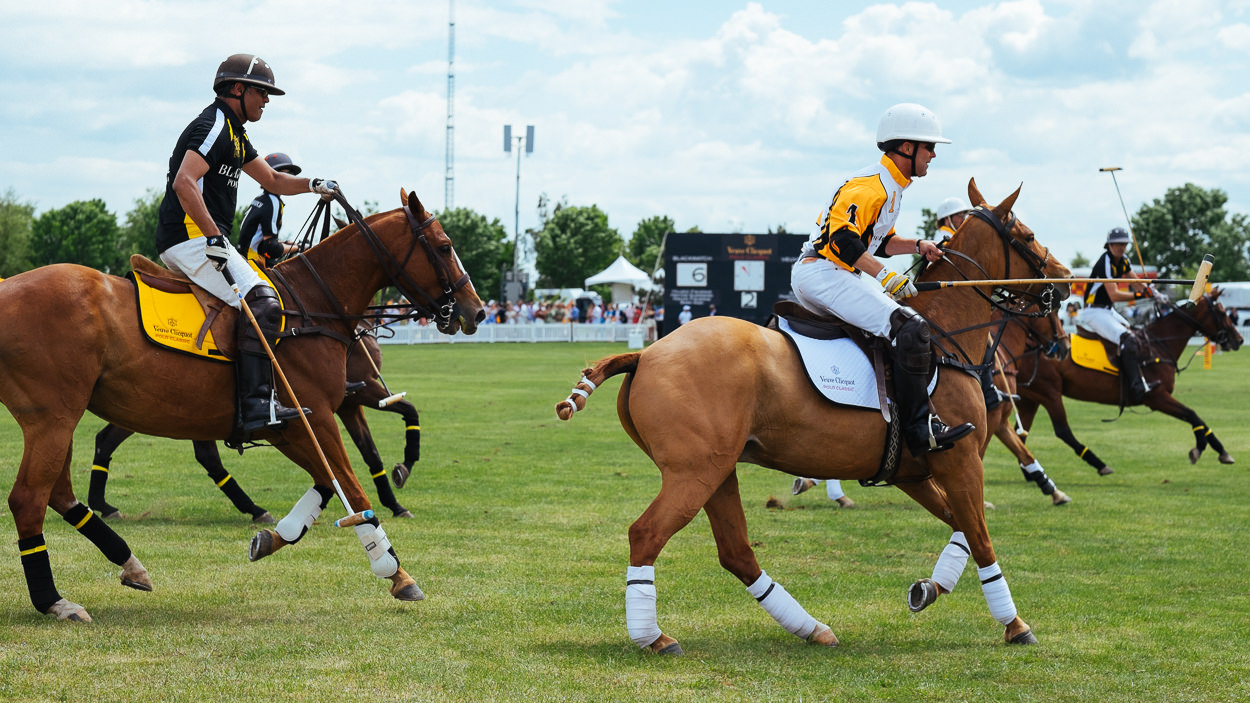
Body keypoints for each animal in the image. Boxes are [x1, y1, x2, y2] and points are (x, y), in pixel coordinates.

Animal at [88, 325, 422, 517]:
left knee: (107, 440)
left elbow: (374, 449)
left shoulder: (351, 403)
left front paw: (395, 496)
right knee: (206, 456)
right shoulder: (355, 397)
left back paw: (101, 504)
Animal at [560, 180, 1075, 650]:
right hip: (693, 471)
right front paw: (1015, 625)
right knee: (647, 533)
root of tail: (646, 353)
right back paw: (653, 637)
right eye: (1028, 236)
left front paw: (929, 588)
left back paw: (811, 627)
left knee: (736, 552)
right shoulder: (960, 458)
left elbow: (962, 526)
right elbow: (980, 536)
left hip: (717, 470)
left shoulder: (914, 471)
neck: (947, 338)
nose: (1066, 280)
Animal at [1015, 290, 1240, 470]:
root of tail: (1026, 345)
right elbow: (1193, 415)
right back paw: (1099, 464)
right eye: (1222, 312)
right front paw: (1199, 449)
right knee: (1062, 431)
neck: (1159, 344)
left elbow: (1198, 418)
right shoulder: (1156, 397)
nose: (1239, 339)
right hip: (1049, 391)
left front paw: (1222, 452)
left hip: (1031, 396)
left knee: (1021, 434)